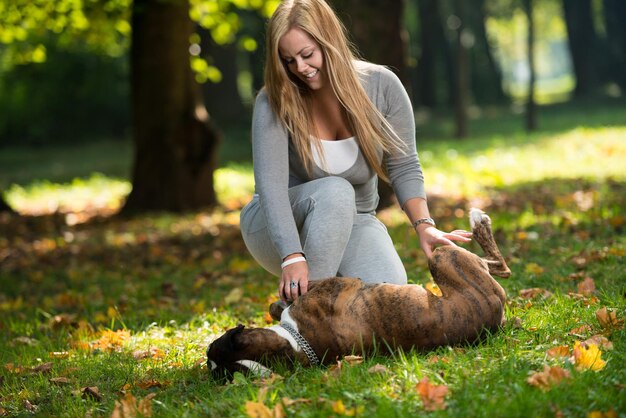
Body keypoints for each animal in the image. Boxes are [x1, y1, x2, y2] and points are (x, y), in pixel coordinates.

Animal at [207, 209, 510, 378]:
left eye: (212, 348)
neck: (297, 343)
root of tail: (496, 318)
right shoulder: (339, 284)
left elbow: (278, 304)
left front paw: (279, 302)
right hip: (443, 257)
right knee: (500, 266)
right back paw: (480, 222)